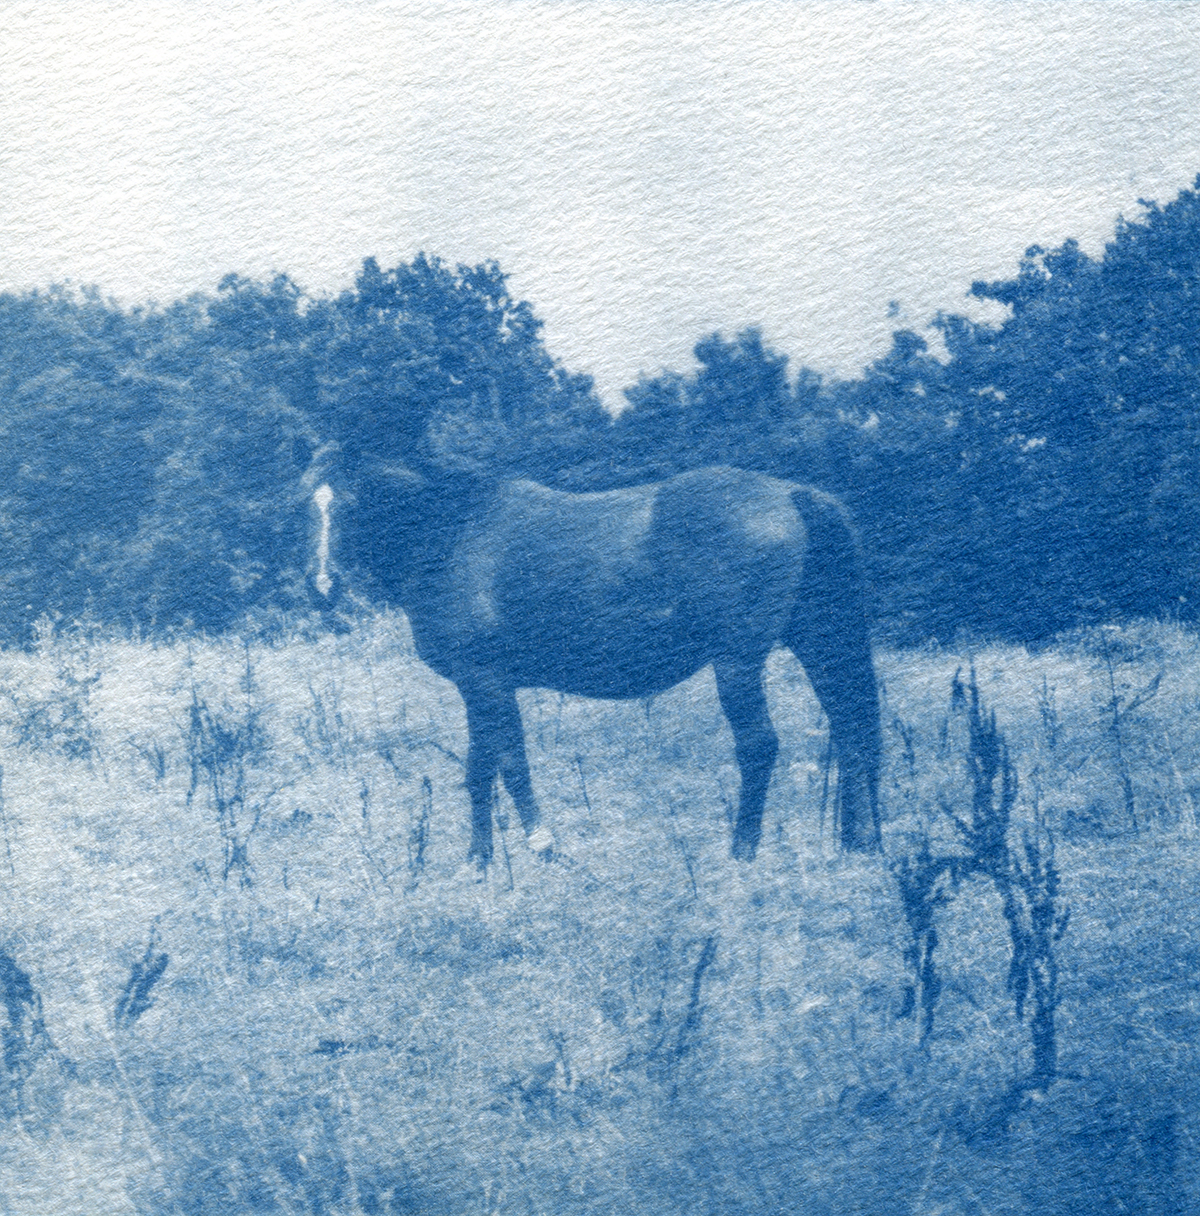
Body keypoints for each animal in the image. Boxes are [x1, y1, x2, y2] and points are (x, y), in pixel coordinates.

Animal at [310, 454, 880, 865]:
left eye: (353, 506)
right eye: (309, 508)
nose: (324, 584)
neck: (451, 536)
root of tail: (790, 494)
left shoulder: (486, 681)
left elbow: (510, 763)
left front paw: (542, 846)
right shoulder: (478, 688)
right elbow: (479, 767)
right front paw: (480, 859)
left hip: (737, 662)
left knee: (760, 745)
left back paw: (742, 850)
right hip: (818, 642)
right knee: (851, 729)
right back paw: (858, 842)